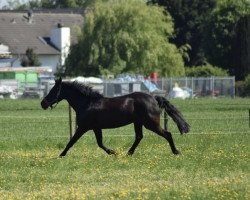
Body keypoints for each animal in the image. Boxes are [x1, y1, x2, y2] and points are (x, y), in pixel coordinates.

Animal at [41, 77, 189, 157]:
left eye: (54, 90)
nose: (43, 103)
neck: (87, 103)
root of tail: (154, 98)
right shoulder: (96, 128)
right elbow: (100, 143)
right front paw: (113, 152)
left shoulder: (83, 127)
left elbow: (71, 142)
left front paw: (61, 155)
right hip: (138, 123)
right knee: (139, 137)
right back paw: (128, 153)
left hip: (151, 123)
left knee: (167, 134)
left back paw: (176, 152)